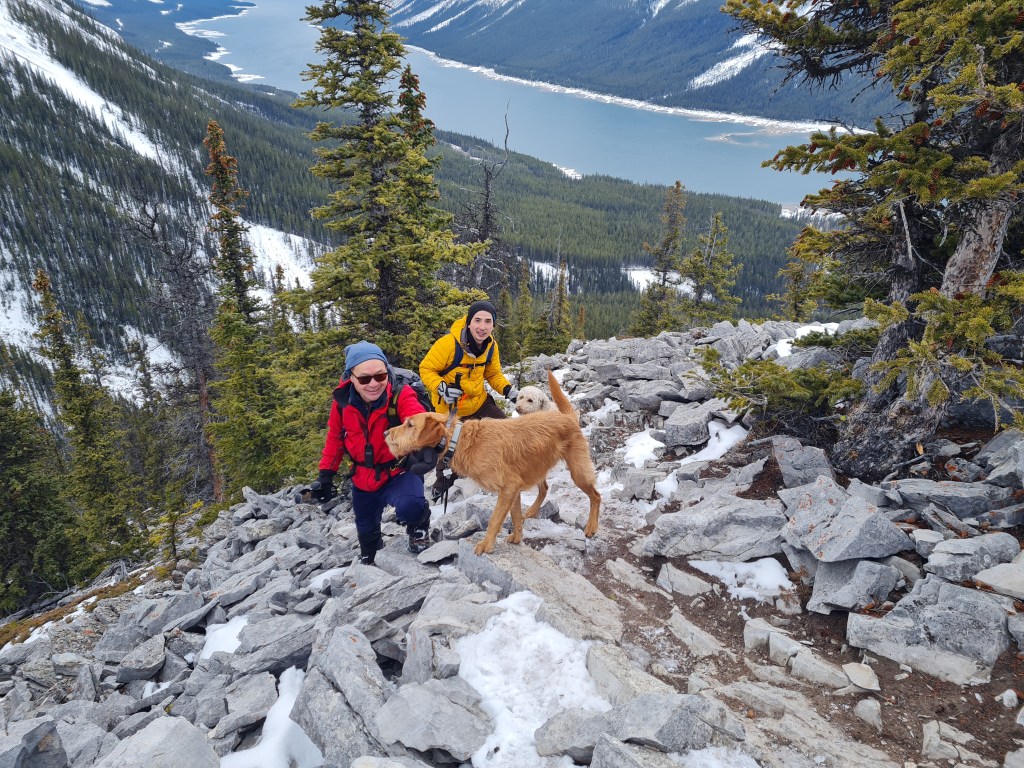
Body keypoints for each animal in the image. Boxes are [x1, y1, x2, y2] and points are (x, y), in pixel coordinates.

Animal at [385, 370, 600, 555]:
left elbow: (495, 519)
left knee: (596, 496)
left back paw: (591, 526)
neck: (460, 439)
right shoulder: (514, 490)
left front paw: (487, 544)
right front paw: (516, 538)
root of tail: (567, 417)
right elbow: (515, 516)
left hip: (578, 472)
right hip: (537, 466)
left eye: (410, 424)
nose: (386, 433)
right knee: (545, 489)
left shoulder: (508, 488)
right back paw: (532, 511)